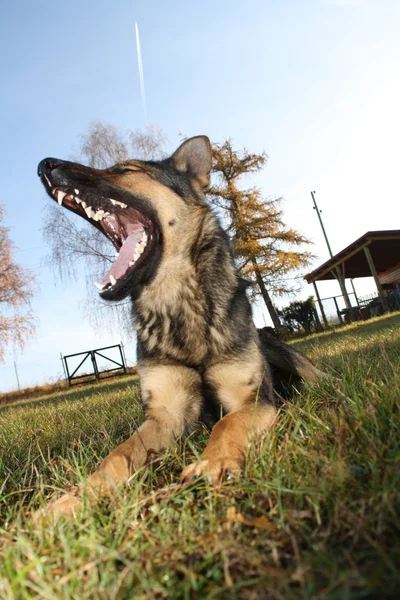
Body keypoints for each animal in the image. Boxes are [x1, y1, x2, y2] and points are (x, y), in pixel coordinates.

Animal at [36, 137, 328, 520]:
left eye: (124, 170)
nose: (43, 165)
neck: (178, 304)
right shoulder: (165, 415)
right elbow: (116, 456)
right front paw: (75, 499)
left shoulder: (253, 401)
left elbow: (225, 424)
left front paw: (211, 464)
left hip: (286, 356)